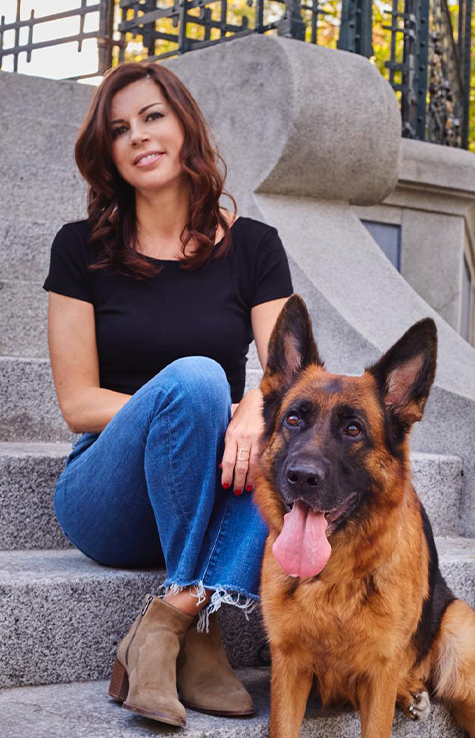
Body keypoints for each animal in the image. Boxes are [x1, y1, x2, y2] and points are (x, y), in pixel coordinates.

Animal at [255, 294, 475, 736]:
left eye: (353, 430)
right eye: (293, 419)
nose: (301, 477)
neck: (332, 580)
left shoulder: (378, 680)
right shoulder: (289, 671)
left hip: (461, 648)